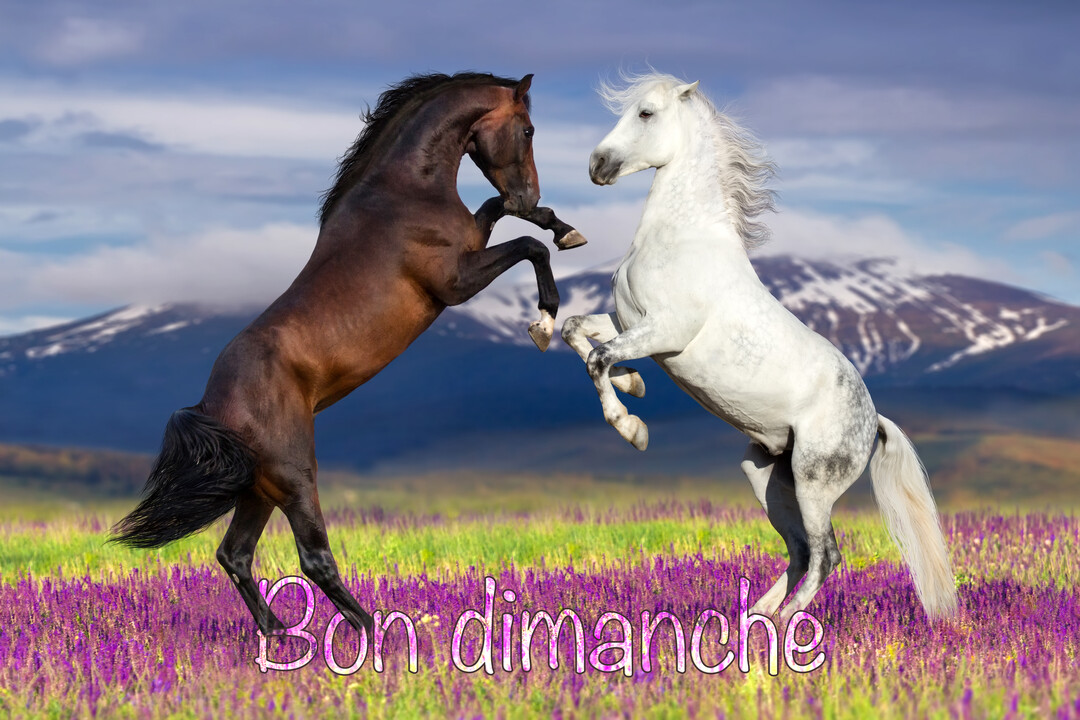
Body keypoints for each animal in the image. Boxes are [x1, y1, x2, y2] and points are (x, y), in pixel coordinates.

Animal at [111, 72, 588, 637]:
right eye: (529, 129)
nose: (528, 189)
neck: (404, 193)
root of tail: (210, 405)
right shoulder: (455, 282)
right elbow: (529, 247)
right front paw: (544, 320)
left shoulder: (474, 241)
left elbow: (506, 217)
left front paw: (562, 227)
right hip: (295, 476)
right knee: (313, 558)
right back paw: (378, 630)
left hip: (260, 488)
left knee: (236, 555)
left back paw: (280, 635)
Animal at [562, 72, 958, 623]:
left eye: (646, 113)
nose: (598, 166)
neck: (682, 239)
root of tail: (873, 420)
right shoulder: (628, 321)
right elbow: (575, 330)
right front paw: (634, 384)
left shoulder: (664, 332)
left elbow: (599, 357)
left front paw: (632, 428)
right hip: (766, 475)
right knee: (799, 550)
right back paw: (755, 617)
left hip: (814, 483)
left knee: (827, 553)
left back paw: (789, 625)